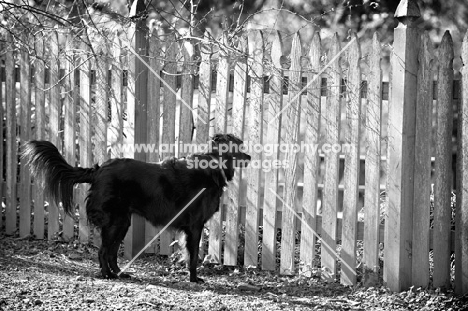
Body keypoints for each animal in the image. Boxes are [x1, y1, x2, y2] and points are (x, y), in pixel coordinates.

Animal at [22, 134, 250, 282]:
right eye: (239, 146)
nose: (249, 157)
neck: (214, 164)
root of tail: (99, 170)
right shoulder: (195, 226)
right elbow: (193, 256)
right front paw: (194, 279)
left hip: (122, 221)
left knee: (112, 252)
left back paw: (118, 273)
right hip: (115, 221)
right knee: (103, 251)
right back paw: (107, 275)